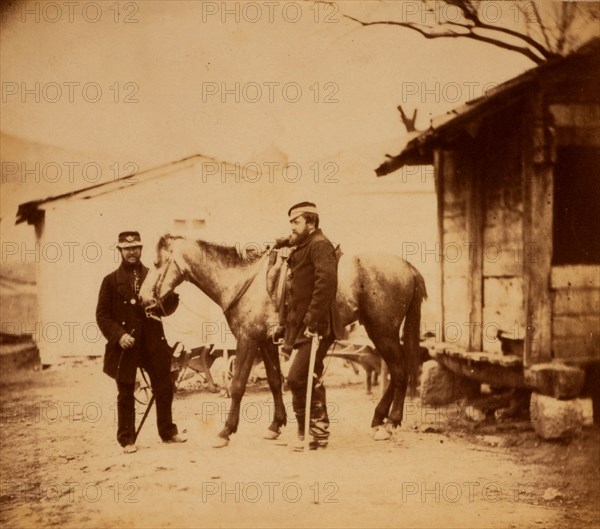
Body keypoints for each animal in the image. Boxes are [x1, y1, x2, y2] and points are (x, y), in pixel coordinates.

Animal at [140, 235, 426, 446]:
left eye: (156, 264)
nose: (143, 300)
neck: (242, 282)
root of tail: (408, 267)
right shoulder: (265, 342)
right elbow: (275, 381)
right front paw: (275, 425)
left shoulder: (247, 339)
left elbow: (238, 385)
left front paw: (226, 431)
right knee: (398, 370)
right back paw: (379, 419)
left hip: (382, 331)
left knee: (399, 371)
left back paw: (390, 423)